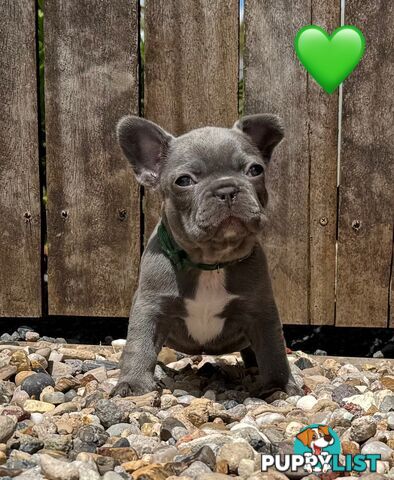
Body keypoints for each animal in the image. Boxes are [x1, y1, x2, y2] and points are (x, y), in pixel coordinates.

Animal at [111, 112, 302, 398]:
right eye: (184, 181)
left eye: (255, 170)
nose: (226, 190)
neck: (211, 262)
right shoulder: (151, 307)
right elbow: (140, 345)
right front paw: (133, 384)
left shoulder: (261, 312)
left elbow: (273, 350)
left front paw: (279, 385)